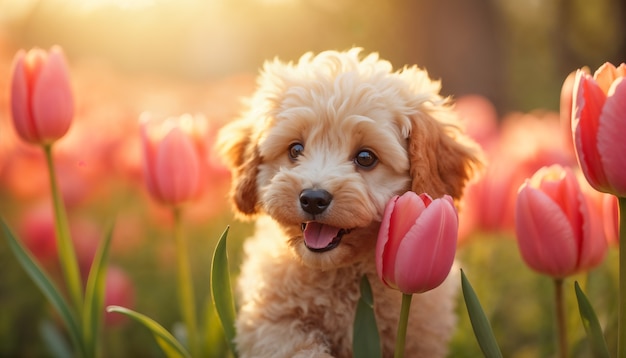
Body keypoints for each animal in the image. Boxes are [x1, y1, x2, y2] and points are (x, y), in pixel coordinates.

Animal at [217, 48, 480, 358]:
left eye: (365, 158)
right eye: (295, 149)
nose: (313, 199)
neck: (339, 274)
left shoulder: (420, 337)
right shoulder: (269, 323)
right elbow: (296, 346)